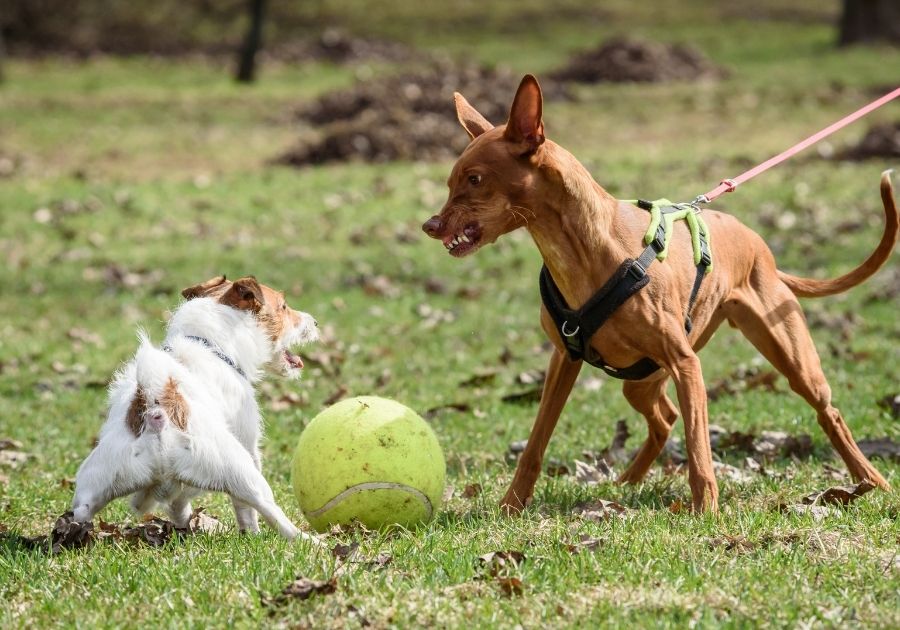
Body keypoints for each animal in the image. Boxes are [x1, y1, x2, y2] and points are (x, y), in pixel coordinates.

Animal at [74, 278, 320, 544]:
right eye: (283, 306)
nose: (315, 322)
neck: (210, 344)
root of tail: (157, 413)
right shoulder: (249, 441)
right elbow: (245, 510)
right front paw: (251, 534)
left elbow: (178, 504)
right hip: (242, 472)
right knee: (272, 514)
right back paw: (310, 541)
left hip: (94, 483)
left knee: (81, 512)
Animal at [424, 74, 900, 512]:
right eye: (451, 182)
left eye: (474, 179)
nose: (430, 226)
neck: (583, 250)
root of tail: (760, 246)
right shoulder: (564, 359)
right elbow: (535, 444)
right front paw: (511, 505)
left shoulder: (686, 364)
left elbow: (699, 449)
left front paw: (706, 512)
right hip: (640, 380)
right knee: (665, 419)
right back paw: (627, 482)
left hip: (790, 358)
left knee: (828, 413)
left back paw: (871, 480)